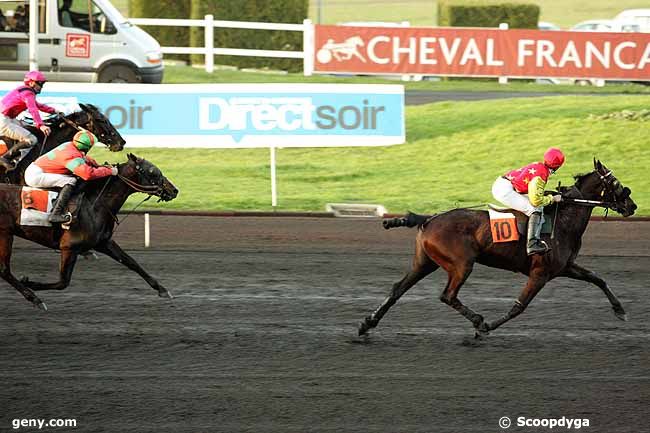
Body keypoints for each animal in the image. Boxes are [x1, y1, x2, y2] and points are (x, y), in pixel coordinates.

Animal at [0, 152, 177, 308]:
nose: (174, 190)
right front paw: (30, 283)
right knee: (4, 270)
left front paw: (162, 289)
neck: (94, 205)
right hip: (5, 235)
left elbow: (132, 262)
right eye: (153, 172)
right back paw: (34, 298)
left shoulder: (103, 242)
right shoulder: (69, 247)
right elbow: (63, 282)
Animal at [356, 159, 636, 338]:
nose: (632, 205)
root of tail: (430, 219)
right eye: (615, 183)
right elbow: (519, 306)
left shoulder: (564, 267)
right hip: (461, 264)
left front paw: (620, 311)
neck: (564, 220)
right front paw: (488, 326)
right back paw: (478, 321)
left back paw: (367, 323)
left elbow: (597, 278)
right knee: (448, 295)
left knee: (398, 289)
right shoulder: (541, 273)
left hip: (425, 261)